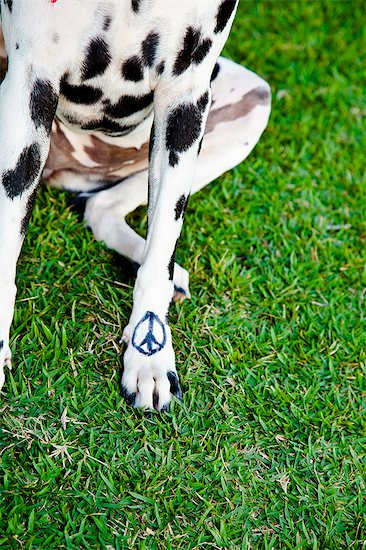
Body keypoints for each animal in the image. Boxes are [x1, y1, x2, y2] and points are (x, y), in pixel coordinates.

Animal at [0, 1, 268, 414]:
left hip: (254, 100)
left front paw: (149, 357)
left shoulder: (185, 99)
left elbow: (161, 252)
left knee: (100, 208)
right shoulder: (29, 88)